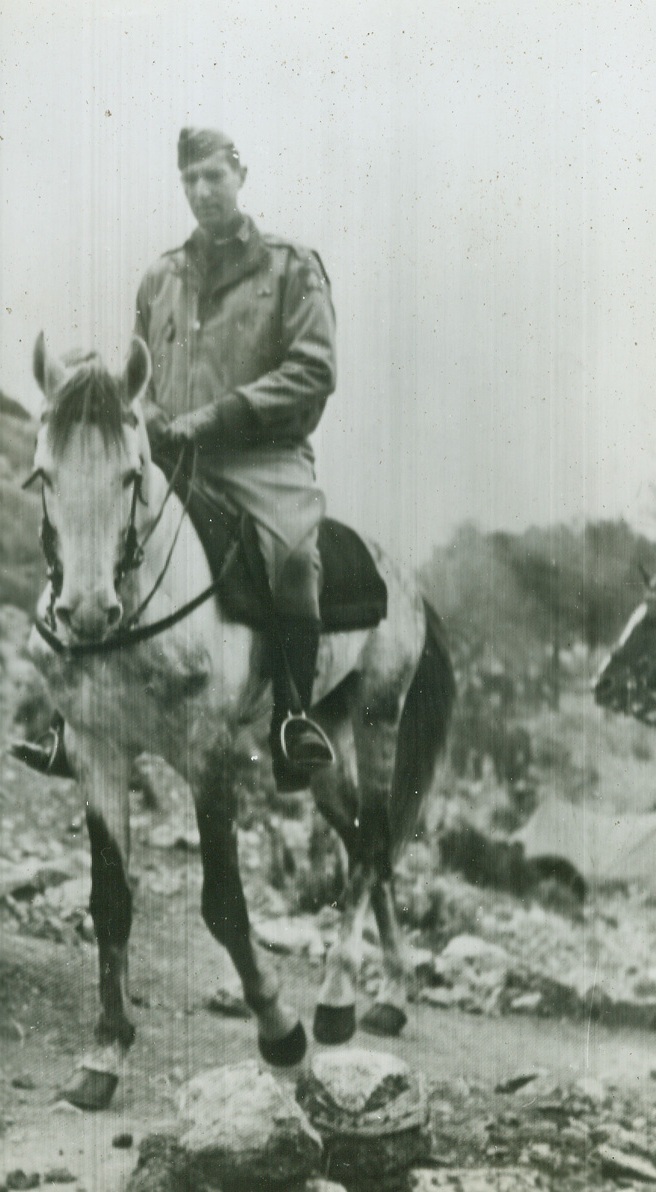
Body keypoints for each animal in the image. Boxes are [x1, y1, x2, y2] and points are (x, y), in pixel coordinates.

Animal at [25, 333, 458, 1106]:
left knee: (374, 844)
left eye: (132, 476)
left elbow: (224, 902)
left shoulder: (207, 757)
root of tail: (404, 581)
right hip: (324, 748)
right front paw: (105, 1051)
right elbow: (110, 901)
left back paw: (341, 999)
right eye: (45, 474)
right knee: (362, 844)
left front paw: (281, 1032)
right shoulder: (97, 749)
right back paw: (388, 991)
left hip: (377, 723)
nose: (85, 613)